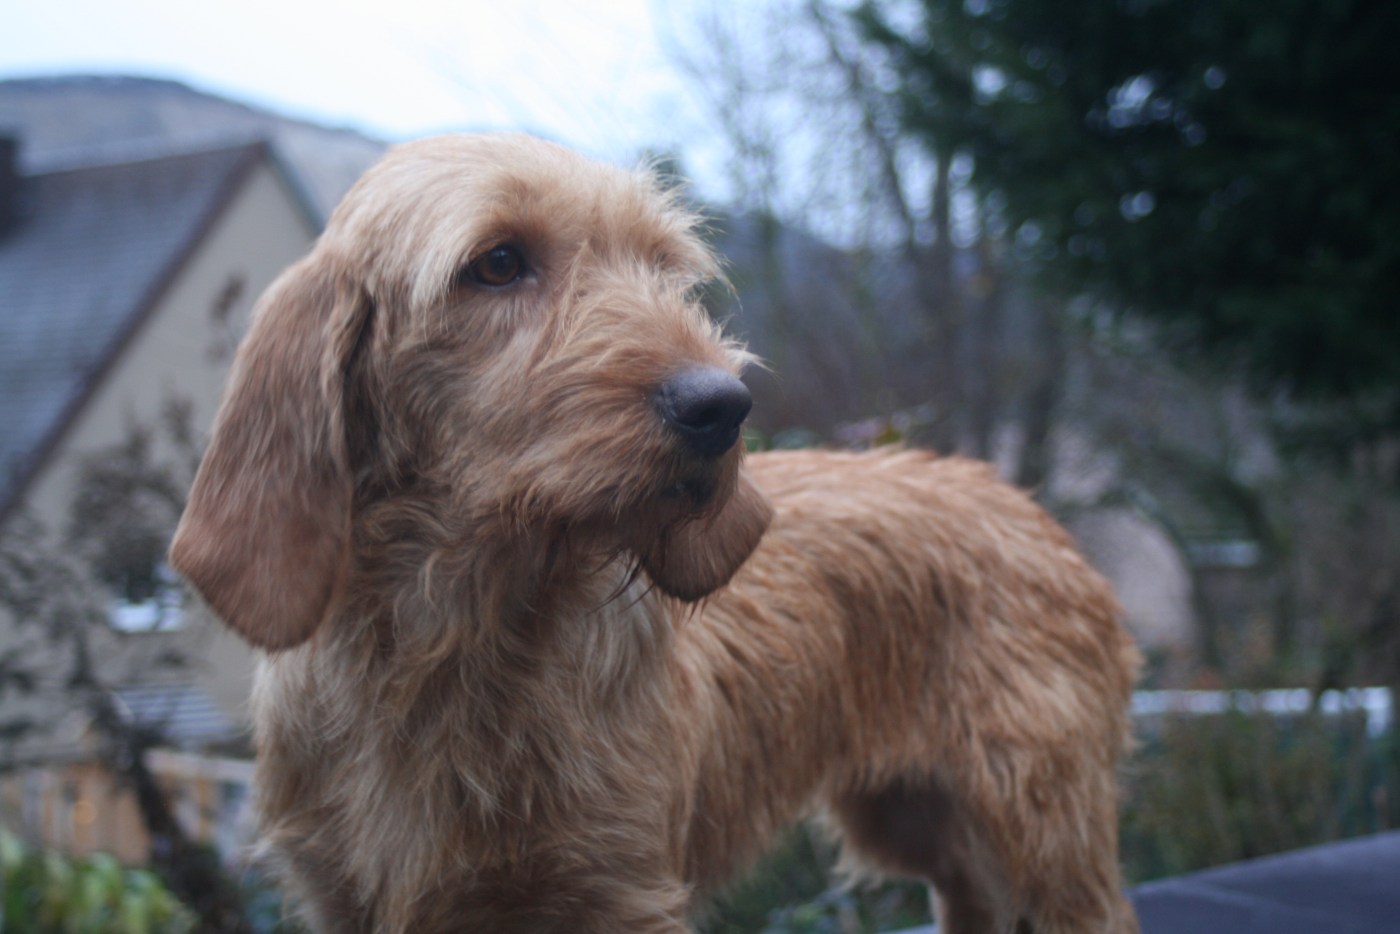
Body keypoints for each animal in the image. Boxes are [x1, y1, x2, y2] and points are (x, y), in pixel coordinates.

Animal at [170, 133, 1141, 933]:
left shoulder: (619, 893)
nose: (722, 407)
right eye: (497, 262)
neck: (461, 647)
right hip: (918, 818)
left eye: (664, 267)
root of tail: (1027, 510)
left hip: (1044, 828)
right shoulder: (342, 899)